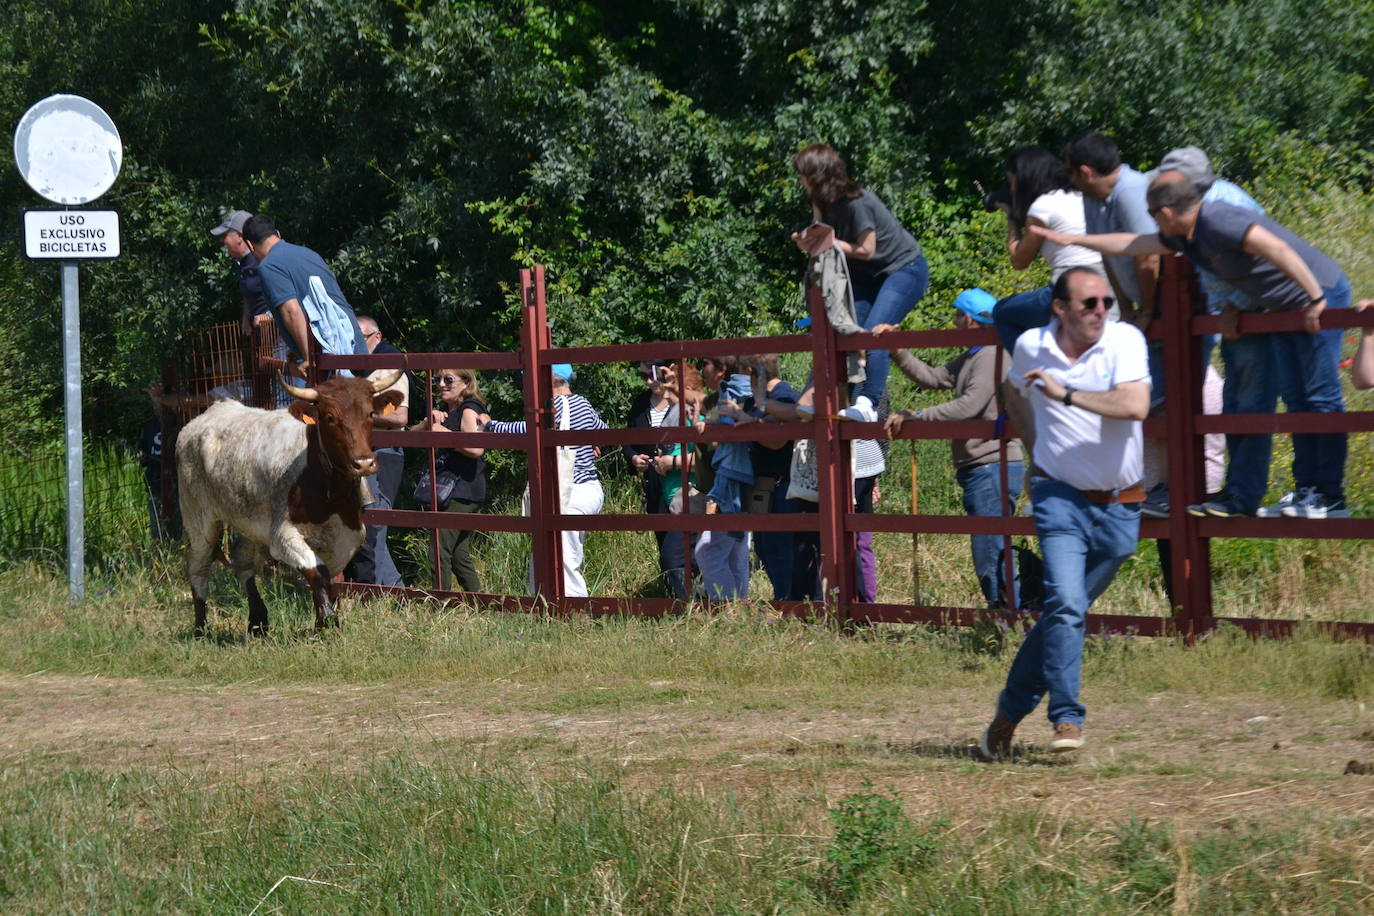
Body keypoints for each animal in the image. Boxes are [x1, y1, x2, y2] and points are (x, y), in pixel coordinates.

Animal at [175, 373, 401, 637]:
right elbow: (317, 570)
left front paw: (322, 617)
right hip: (199, 520)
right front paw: (327, 621)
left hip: (250, 522)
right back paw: (201, 627)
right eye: (330, 417)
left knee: (244, 563)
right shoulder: (282, 535)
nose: (363, 463)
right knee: (199, 566)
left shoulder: (349, 534)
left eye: (370, 414)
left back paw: (258, 620)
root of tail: (202, 418)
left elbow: (328, 575)